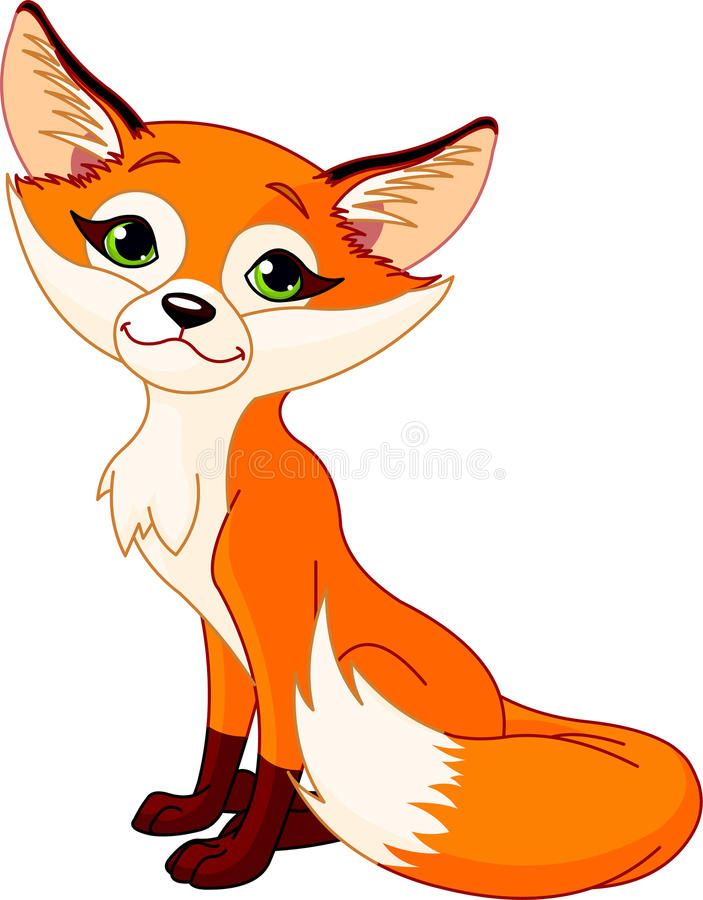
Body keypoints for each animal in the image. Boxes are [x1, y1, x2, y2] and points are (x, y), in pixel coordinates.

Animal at [2, 2, 701, 896]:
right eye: (130, 242)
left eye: (277, 277)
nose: (188, 309)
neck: (196, 465)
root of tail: (500, 706)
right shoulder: (220, 632)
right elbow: (222, 736)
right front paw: (200, 809)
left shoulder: (276, 622)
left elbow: (276, 756)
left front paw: (238, 856)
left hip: (366, 671)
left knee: (328, 793)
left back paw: (293, 829)